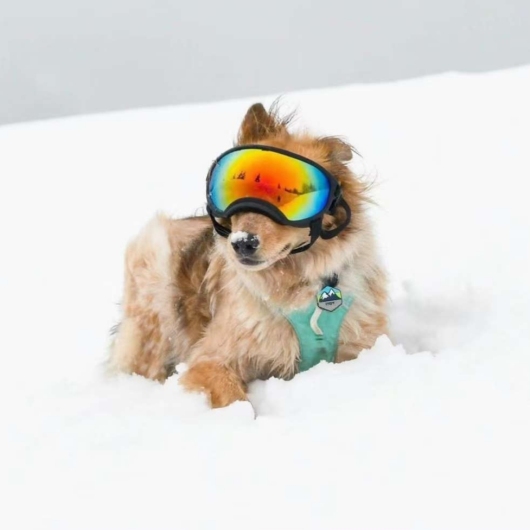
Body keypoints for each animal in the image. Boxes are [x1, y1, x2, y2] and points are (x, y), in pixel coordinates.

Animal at [108, 103, 387, 408]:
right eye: (235, 190)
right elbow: (233, 396)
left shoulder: (361, 346)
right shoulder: (209, 359)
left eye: (291, 195)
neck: (296, 284)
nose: (242, 242)